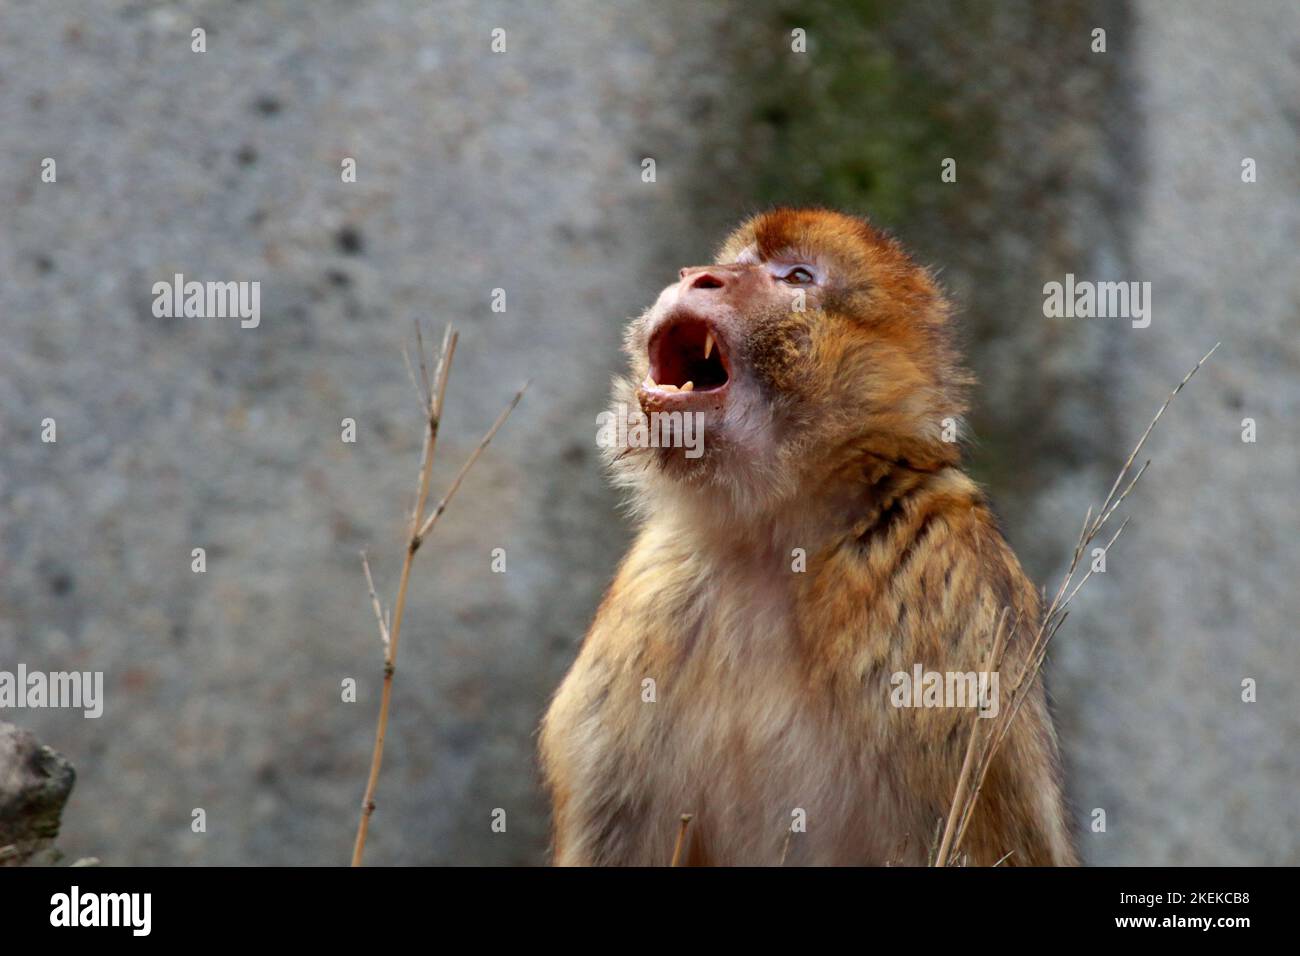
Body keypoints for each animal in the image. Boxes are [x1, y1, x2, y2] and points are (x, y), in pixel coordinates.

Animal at [540, 208, 1078, 866]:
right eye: (736, 261)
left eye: (797, 276)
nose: (697, 275)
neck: (769, 534)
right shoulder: (652, 591)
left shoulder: (942, 585)